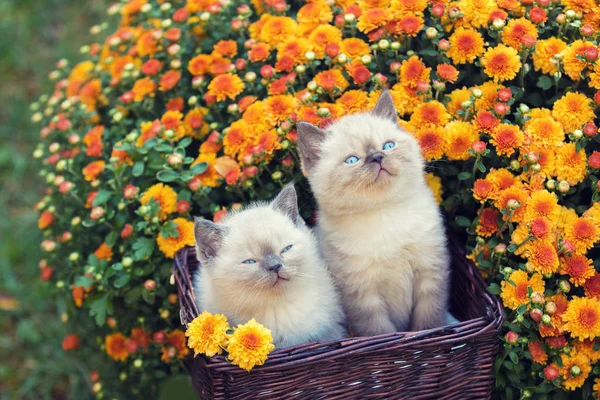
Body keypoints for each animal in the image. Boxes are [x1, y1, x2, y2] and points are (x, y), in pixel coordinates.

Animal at [296, 90, 450, 334]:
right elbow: (381, 331)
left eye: (388, 146)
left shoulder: (429, 272)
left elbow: (428, 321)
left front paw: (430, 335)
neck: (384, 213)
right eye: (352, 160)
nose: (377, 157)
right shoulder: (363, 294)